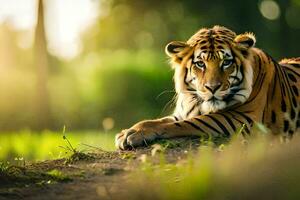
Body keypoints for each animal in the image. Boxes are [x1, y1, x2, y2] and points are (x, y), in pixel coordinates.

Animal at [115, 25, 300, 150]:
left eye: (226, 62)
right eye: (200, 64)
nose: (213, 88)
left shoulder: (244, 119)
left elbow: (186, 123)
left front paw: (133, 135)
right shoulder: (181, 112)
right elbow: (157, 120)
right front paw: (128, 132)